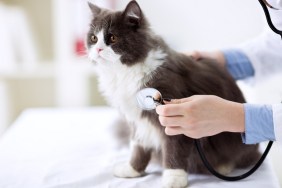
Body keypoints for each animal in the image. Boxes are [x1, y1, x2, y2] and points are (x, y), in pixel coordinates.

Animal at [86, 0, 260, 187]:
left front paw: (173, 178)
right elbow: (138, 146)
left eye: (112, 38)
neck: (123, 73)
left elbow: (174, 148)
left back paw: (223, 166)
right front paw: (133, 169)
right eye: (94, 38)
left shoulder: (172, 115)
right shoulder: (136, 119)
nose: (98, 50)